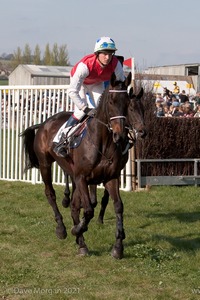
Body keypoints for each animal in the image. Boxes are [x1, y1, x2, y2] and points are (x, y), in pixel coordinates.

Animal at [20, 72, 145, 258]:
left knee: (73, 204)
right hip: (45, 164)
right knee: (51, 194)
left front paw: (118, 246)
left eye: (127, 104)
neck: (104, 144)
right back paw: (62, 229)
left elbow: (117, 206)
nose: (120, 135)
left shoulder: (110, 177)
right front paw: (77, 230)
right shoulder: (81, 178)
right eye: (111, 101)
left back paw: (80, 242)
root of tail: (43, 123)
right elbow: (88, 209)